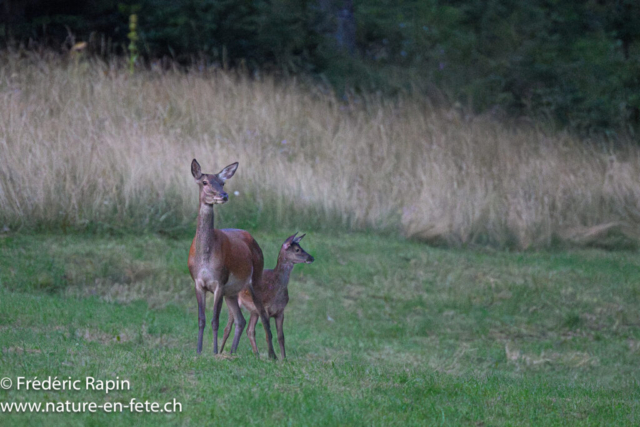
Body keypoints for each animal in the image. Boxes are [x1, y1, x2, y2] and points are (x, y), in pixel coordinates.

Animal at [185, 159, 276, 360]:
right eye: (204, 182)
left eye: (223, 183)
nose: (224, 195)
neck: (205, 258)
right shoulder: (198, 282)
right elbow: (201, 319)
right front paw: (199, 351)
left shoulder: (220, 281)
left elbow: (215, 320)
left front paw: (213, 351)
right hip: (232, 292)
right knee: (241, 320)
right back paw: (232, 352)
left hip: (255, 279)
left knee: (263, 315)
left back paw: (273, 355)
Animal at [219, 232, 314, 360]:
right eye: (297, 249)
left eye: (300, 247)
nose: (311, 258)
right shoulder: (265, 308)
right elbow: (268, 333)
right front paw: (272, 356)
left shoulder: (280, 311)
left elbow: (281, 336)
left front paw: (284, 358)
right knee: (227, 328)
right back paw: (220, 352)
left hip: (254, 311)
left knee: (250, 330)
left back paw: (256, 355)